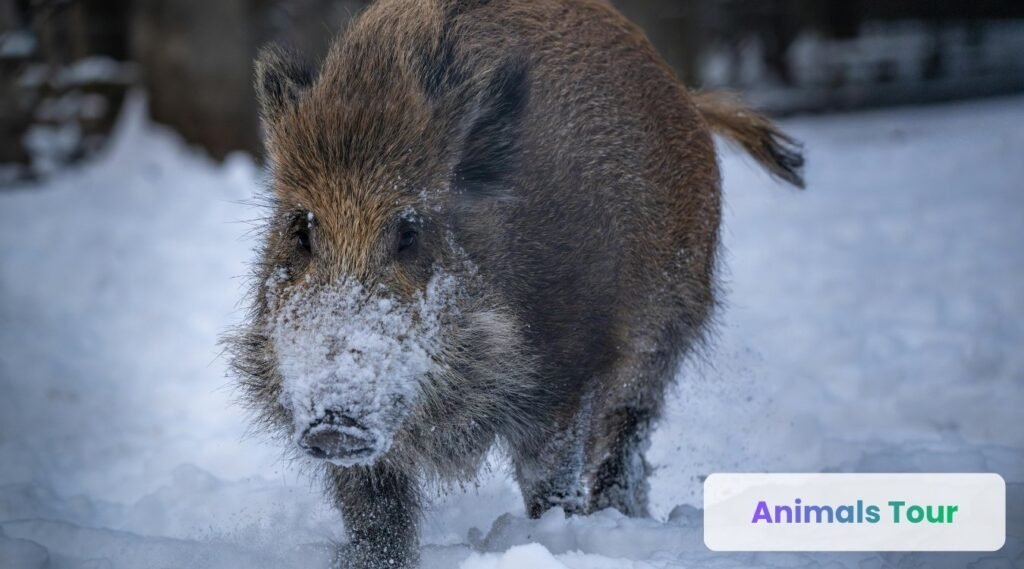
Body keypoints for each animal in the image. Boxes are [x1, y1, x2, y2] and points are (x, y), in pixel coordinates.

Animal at [225, 0, 804, 567]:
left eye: (410, 232)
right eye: (301, 230)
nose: (334, 423)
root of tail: (685, 95)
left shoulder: (567, 368)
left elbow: (549, 476)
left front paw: (554, 536)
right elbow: (374, 514)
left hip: (663, 328)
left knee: (626, 436)